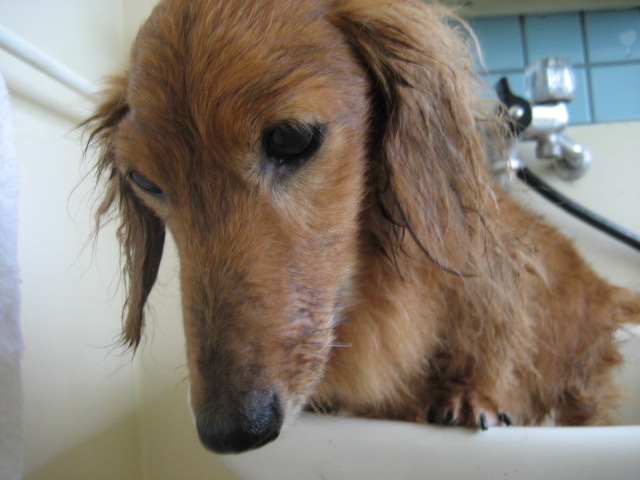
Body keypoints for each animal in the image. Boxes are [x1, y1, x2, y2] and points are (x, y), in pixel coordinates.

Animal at [86, 0, 640, 454]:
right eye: (144, 181)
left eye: (290, 138)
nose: (230, 433)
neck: (372, 289)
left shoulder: (502, 280)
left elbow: (499, 334)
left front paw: (475, 392)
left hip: (586, 384)